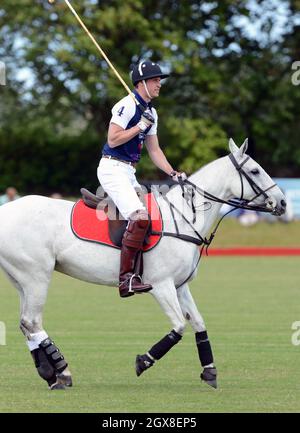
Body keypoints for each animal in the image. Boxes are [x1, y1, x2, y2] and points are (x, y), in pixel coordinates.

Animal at [0, 138, 286, 388]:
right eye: (255, 170)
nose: (282, 202)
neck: (184, 217)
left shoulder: (180, 286)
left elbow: (199, 323)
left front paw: (210, 372)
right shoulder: (161, 285)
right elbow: (179, 326)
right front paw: (143, 361)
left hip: (21, 279)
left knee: (26, 324)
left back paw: (50, 374)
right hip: (37, 276)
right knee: (32, 321)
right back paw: (62, 371)